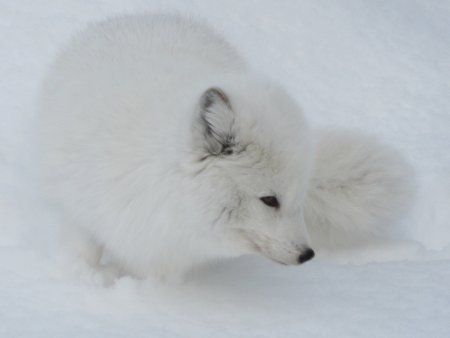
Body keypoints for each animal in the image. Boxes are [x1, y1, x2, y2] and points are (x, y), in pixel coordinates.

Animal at [36, 13, 412, 278]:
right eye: (269, 200)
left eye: (299, 199)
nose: (308, 255)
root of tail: (144, 16)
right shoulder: (83, 212)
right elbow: (85, 249)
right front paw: (86, 280)